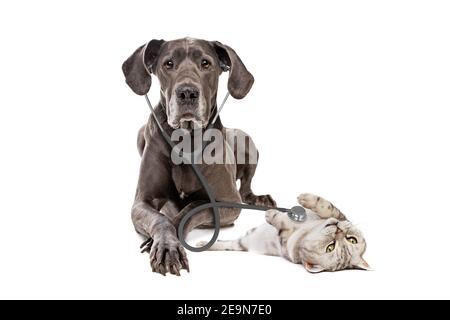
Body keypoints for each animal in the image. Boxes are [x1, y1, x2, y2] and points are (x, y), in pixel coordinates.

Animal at [124, 38, 278, 276]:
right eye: (168, 63)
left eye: (206, 63)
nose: (187, 93)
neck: (186, 140)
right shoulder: (142, 201)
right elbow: (160, 218)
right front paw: (166, 246)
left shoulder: (228, 202)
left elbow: (192, 208)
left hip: (246, 140)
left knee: (245, 188)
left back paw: (258, 198)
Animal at [197, 192, 370, 272]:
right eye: (352, 239)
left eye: (330, 247)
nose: (338, 230)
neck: (308, 229)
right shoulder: (339, 215)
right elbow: (328, 207)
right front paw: (305, 198)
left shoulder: (284, 240)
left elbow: (280, 222)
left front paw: (271, 213)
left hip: (242, 243)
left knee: (230, 244)